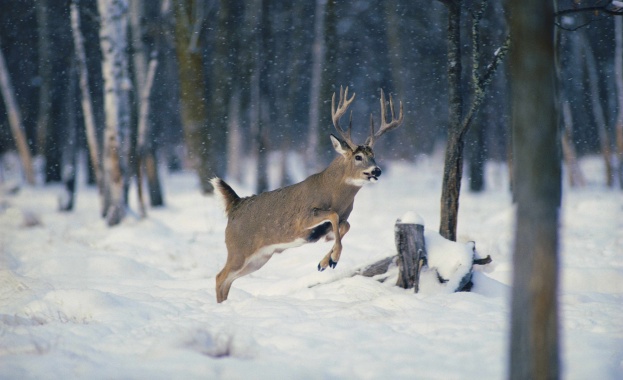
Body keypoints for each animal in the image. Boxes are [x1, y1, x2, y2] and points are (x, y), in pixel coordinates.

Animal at [213, 86, 404, 302]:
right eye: (358, 156)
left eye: (374, 155)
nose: (377, 170)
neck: (334, 194)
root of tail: (235, 204)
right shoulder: (302, 220)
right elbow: (334, 216)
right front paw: (333, 259)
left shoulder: (336, 223)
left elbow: (345, 225)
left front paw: (325, 262)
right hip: (238, 249)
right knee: (220, 277)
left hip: (259, 258)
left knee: (228, 280)